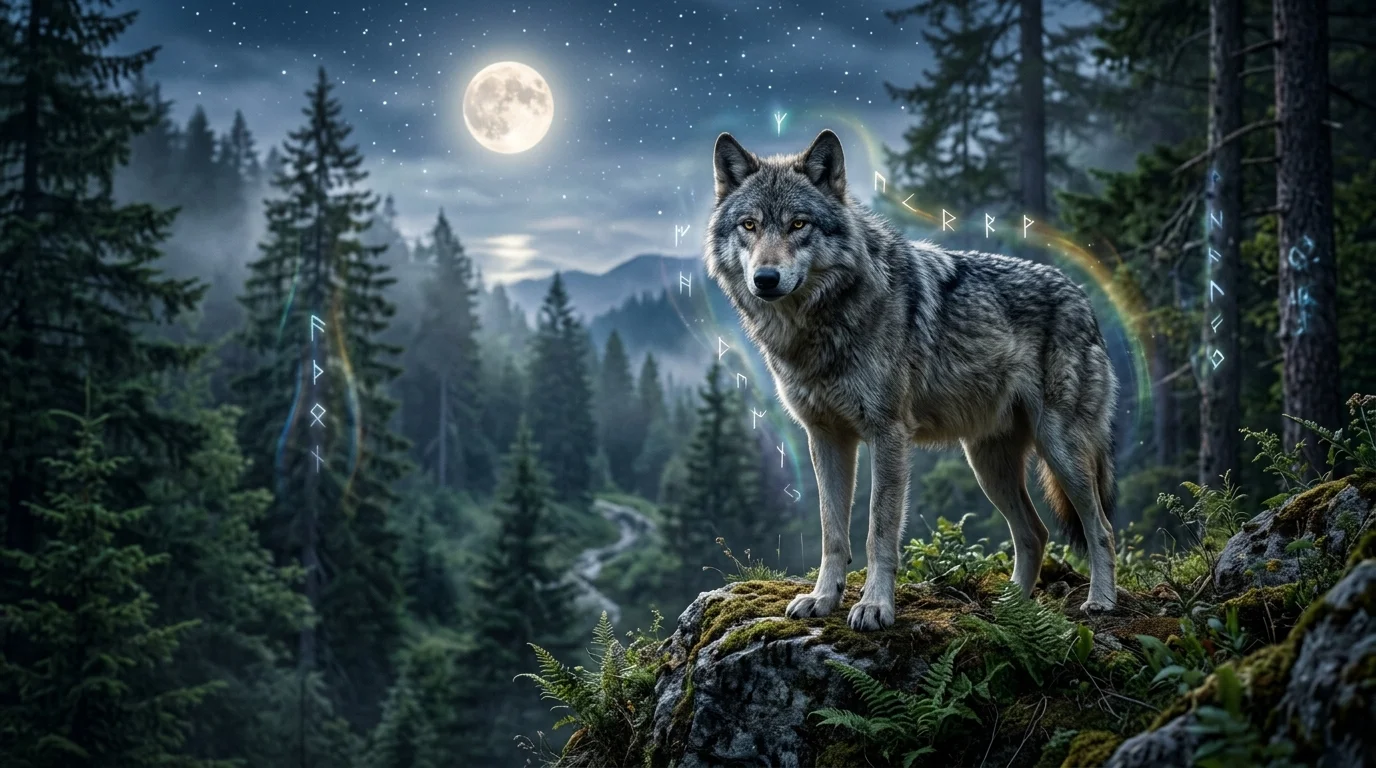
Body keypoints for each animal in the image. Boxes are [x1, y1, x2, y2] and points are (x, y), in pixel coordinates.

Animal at [704, 129, 1119, 631]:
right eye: (749, 225)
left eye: (798, 224)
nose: (765, 278)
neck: (819, 325)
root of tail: (1082, 296)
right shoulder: (824, 437)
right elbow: (831, 532)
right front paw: (822, 599)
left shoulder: (888, 435)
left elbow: (878, 532)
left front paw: (875, 606)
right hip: (988, 464)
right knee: (1035, 533)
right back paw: (1011, 612)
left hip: (1060, 450)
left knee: (1101, 527)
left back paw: (1100, 602)